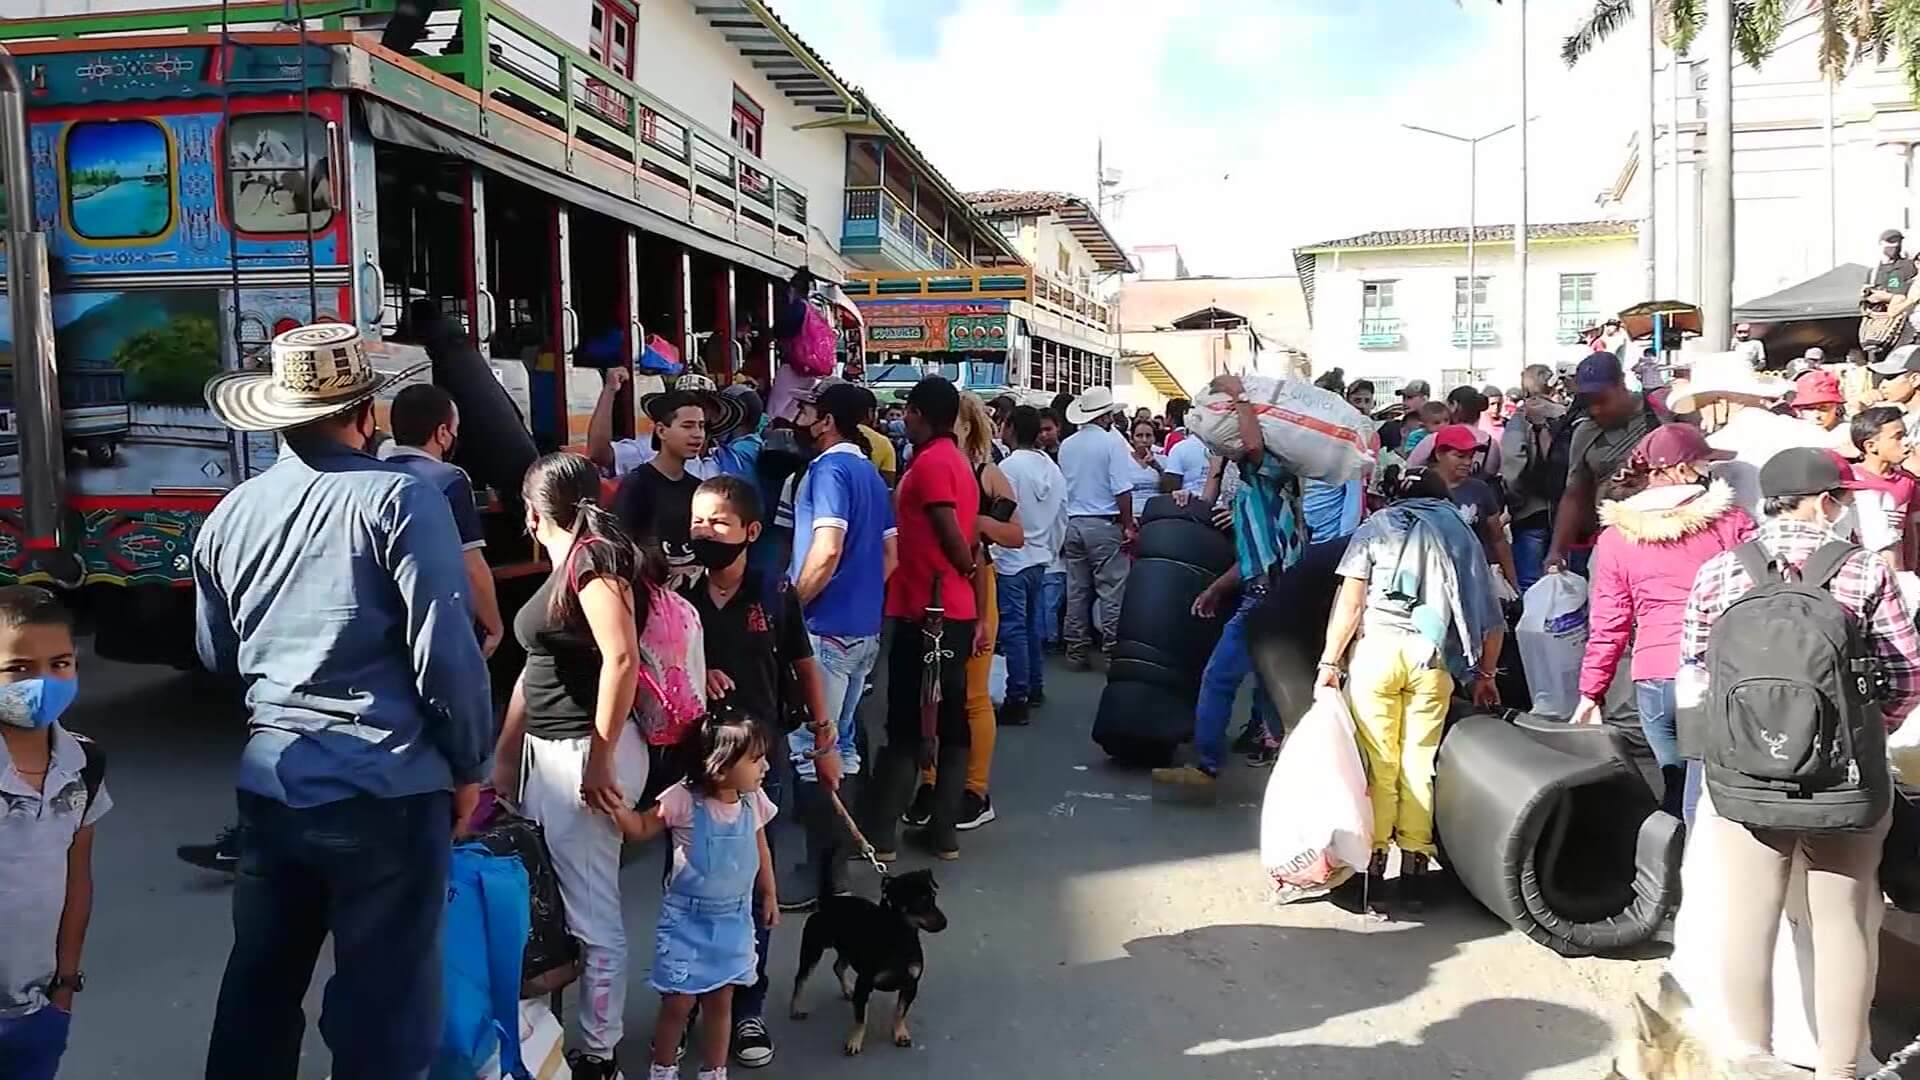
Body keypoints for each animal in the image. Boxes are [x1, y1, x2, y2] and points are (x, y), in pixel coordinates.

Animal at [787, 864, 952, 1053]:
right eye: (919, 901)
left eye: (933, 897)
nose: (944, 922)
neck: (900, 937)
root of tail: (827, 902)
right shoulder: (864, 984)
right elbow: (861, 1019)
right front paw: (854, 1041)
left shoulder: (910, 985)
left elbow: (900, 1012)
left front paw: (900, 1033)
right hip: (812, 951)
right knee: (801, 979)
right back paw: (796, 1008)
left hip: (847, 950)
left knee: (838, 966)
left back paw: (847, 990)